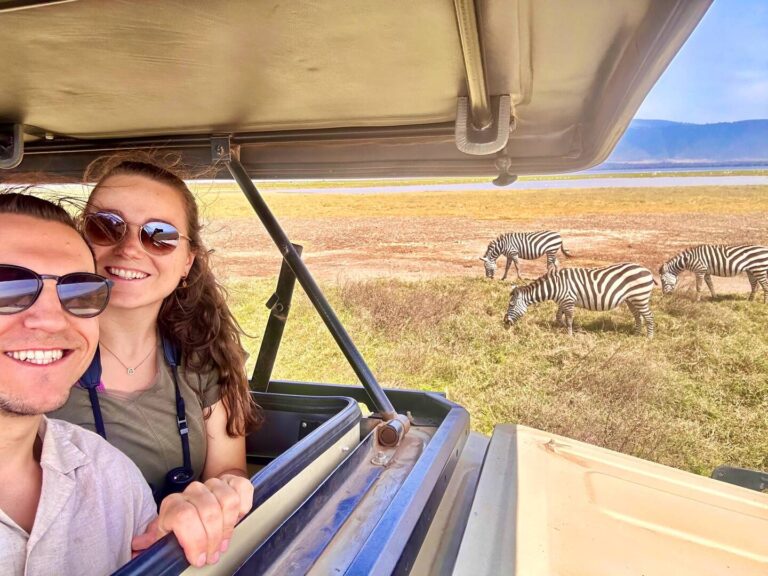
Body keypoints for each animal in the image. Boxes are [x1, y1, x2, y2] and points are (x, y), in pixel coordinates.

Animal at [504, 264, 656, 340]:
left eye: (511, 305)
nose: (505, 323)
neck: (555, 286)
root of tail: (647, 270)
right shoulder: (563, 301)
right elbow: (558, 316)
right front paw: (563, 328)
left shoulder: (568, 300)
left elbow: (569, 319)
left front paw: (570, 335)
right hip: (631, 299)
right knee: (638, 317)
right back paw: (636, 335)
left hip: (640, 297)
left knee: (649, 317)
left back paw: (649, 338)